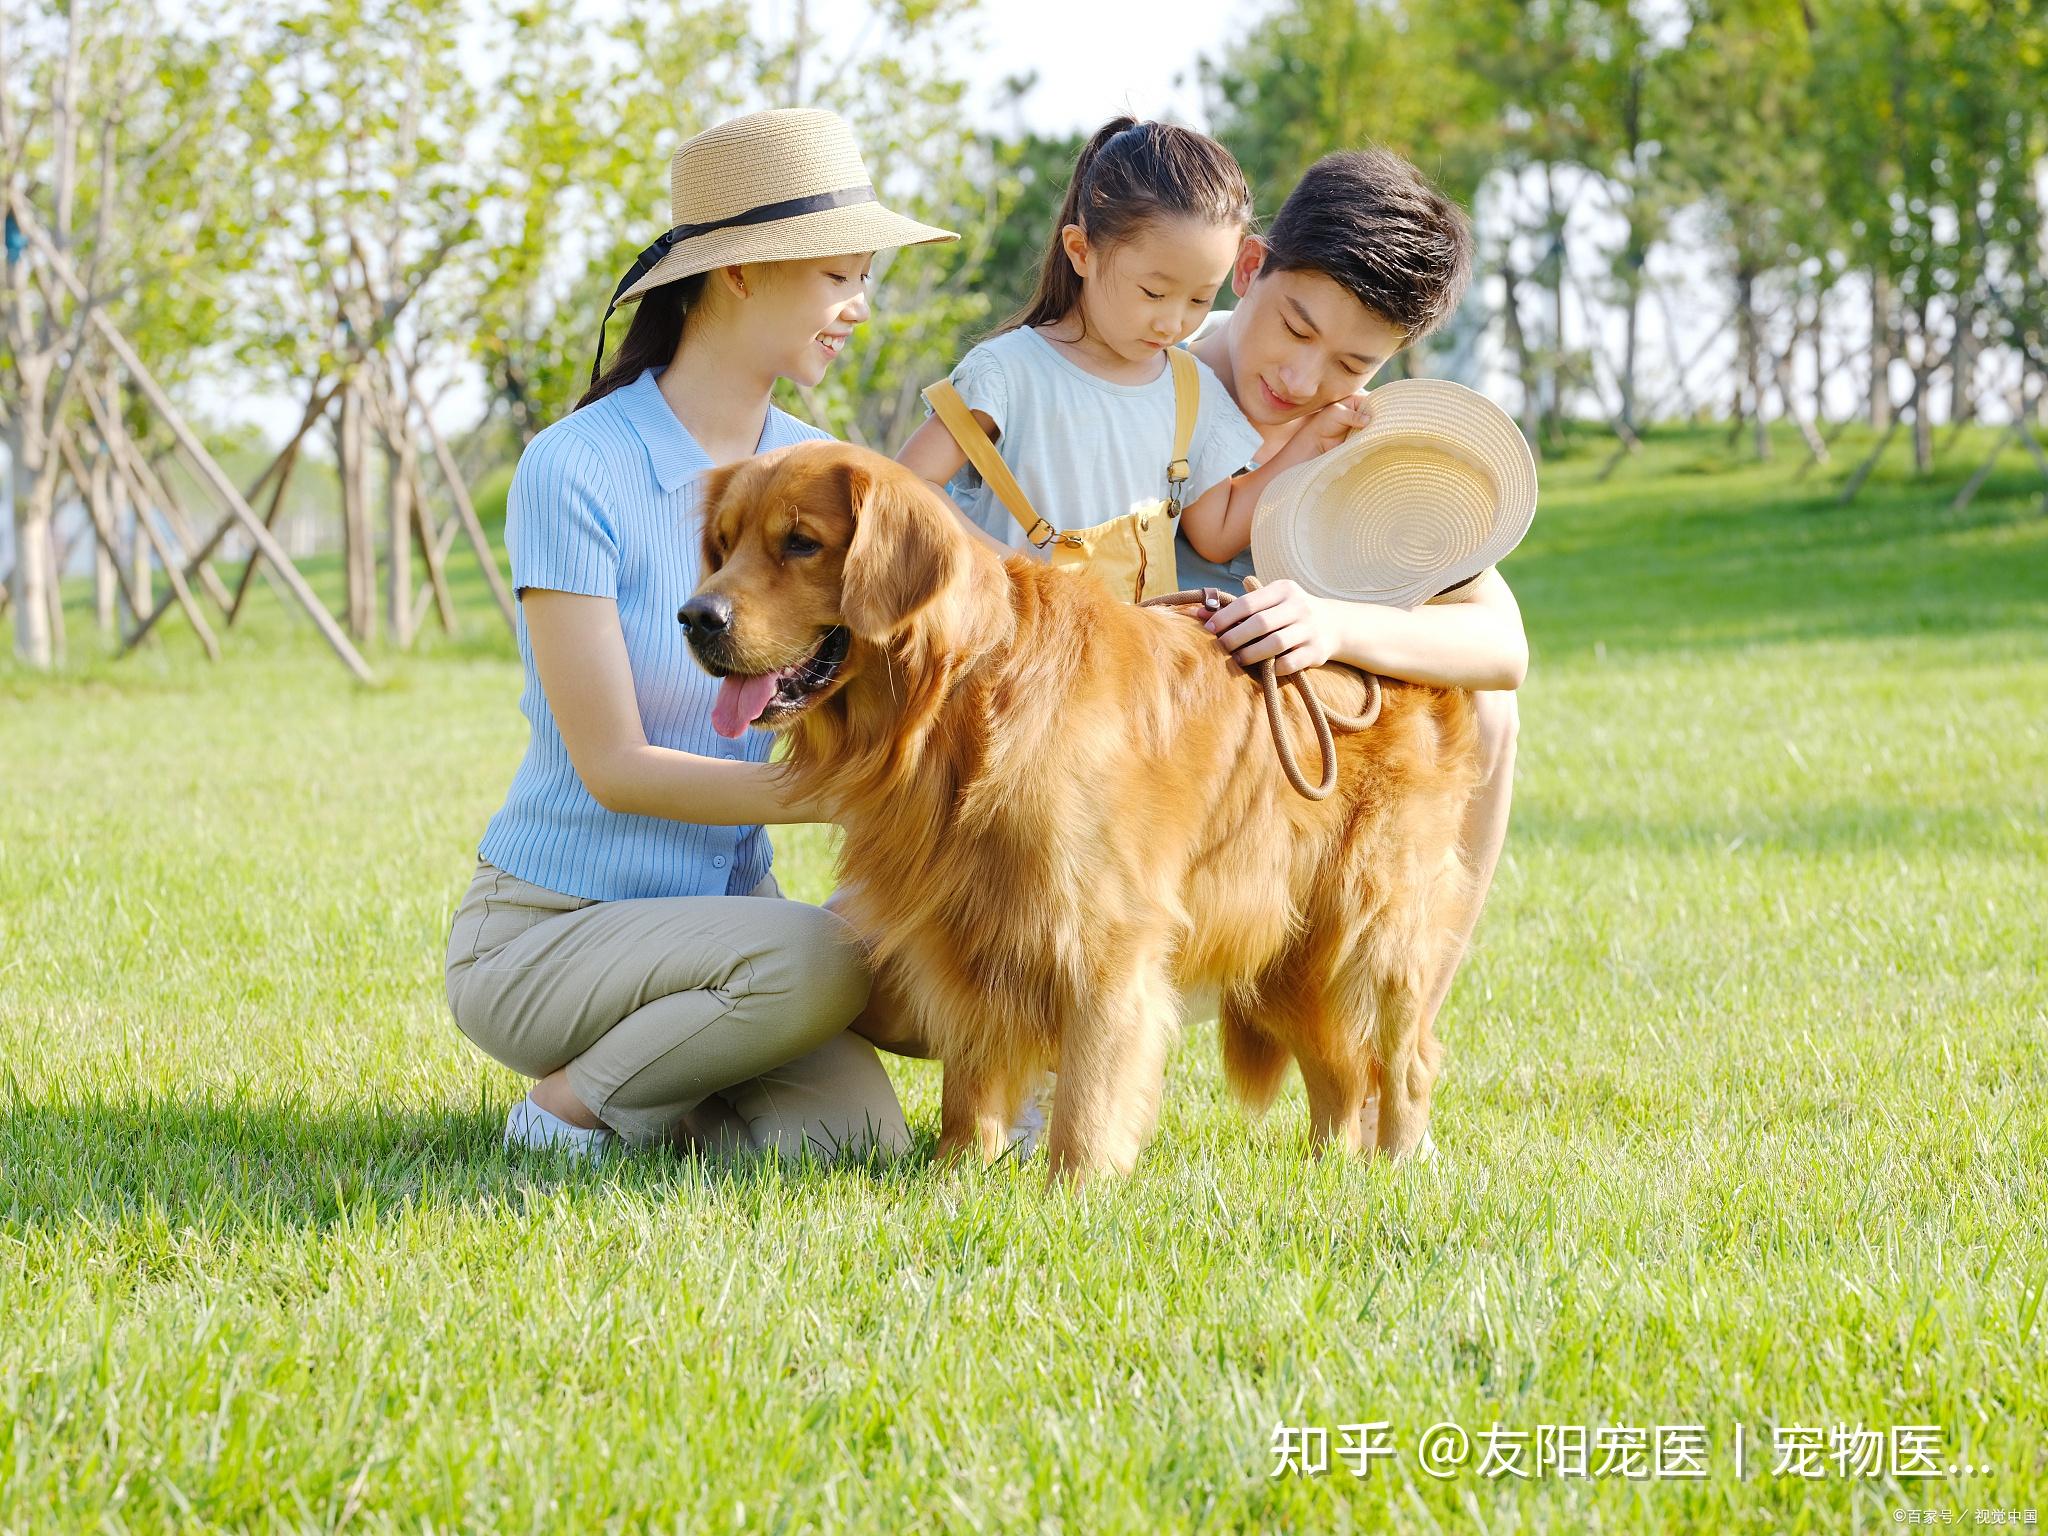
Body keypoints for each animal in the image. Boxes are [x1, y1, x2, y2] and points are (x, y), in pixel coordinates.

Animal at [679, 438, 1482, 1187]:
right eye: (724, 542)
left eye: (800, 542)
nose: (694, 616)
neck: (968, 690)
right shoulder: (966, 927)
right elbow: (969, 1086)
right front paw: (955, 1180)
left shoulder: (1105, 937)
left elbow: (1090, 1093)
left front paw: (1074, 1192)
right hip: (1290, 946)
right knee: (1338, 1071)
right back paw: (1325, 1172)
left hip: (1375, 931)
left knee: (1406, 1062)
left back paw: (1397, 1168)